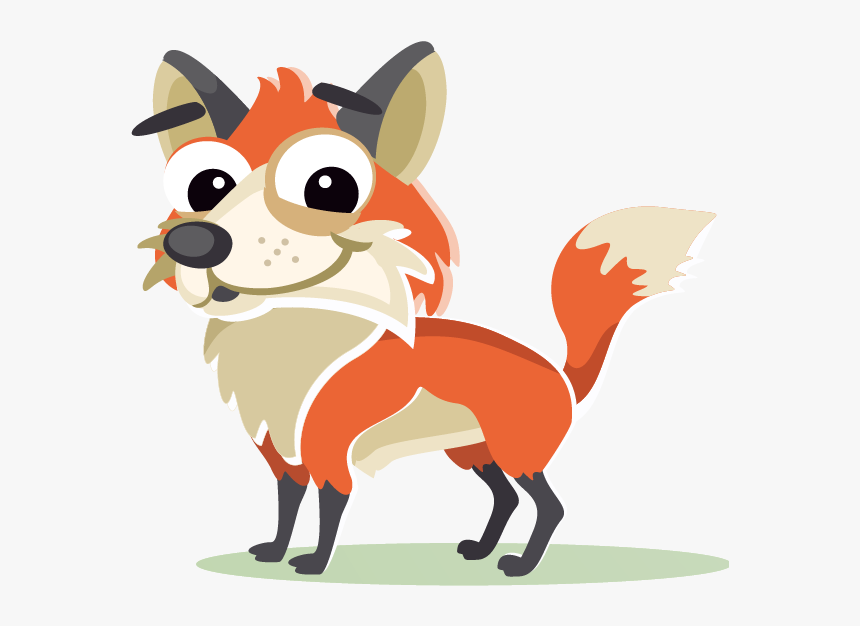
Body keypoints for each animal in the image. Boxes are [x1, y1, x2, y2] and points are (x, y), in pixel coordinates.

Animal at [132, 42, 715, 578]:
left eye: (329, 185)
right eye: (206, 185)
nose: (194, 242)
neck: (285, 341)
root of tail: (562, 375)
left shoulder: (327, 453)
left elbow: (329, 509)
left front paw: (315, 564)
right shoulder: (283, 460)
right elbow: (287, 508)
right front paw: (275, 553)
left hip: (515, 452)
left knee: (549, 506)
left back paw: (522, 565)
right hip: (474, 452)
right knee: (505, 497)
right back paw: (482, 550)